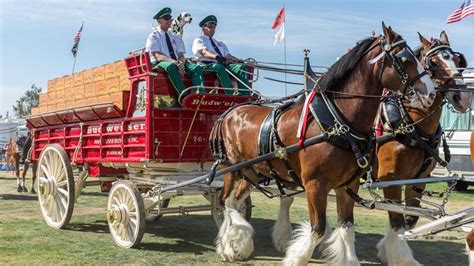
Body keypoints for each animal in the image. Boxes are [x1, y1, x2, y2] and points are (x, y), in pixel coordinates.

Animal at [211, 23, 436, 264]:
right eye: (405, 59)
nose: (431, 93)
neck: (337, 123)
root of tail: (229, 112)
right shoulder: (315, 185)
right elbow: (317, 229)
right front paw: (296, 258)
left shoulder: (348, 185)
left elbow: (346, 227)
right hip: (231, 168)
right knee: (225, 202)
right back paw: (228, 246)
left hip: (252, 172)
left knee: (235, 201)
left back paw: (236, 243)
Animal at [374, 30, 470, 264]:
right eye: (433, 62)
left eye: (458, 61)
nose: (463, 97)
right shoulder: (390, 178)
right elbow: (396, 218)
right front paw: (399, 257)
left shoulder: (418, 180)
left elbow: (409, 218)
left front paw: (387, 250)